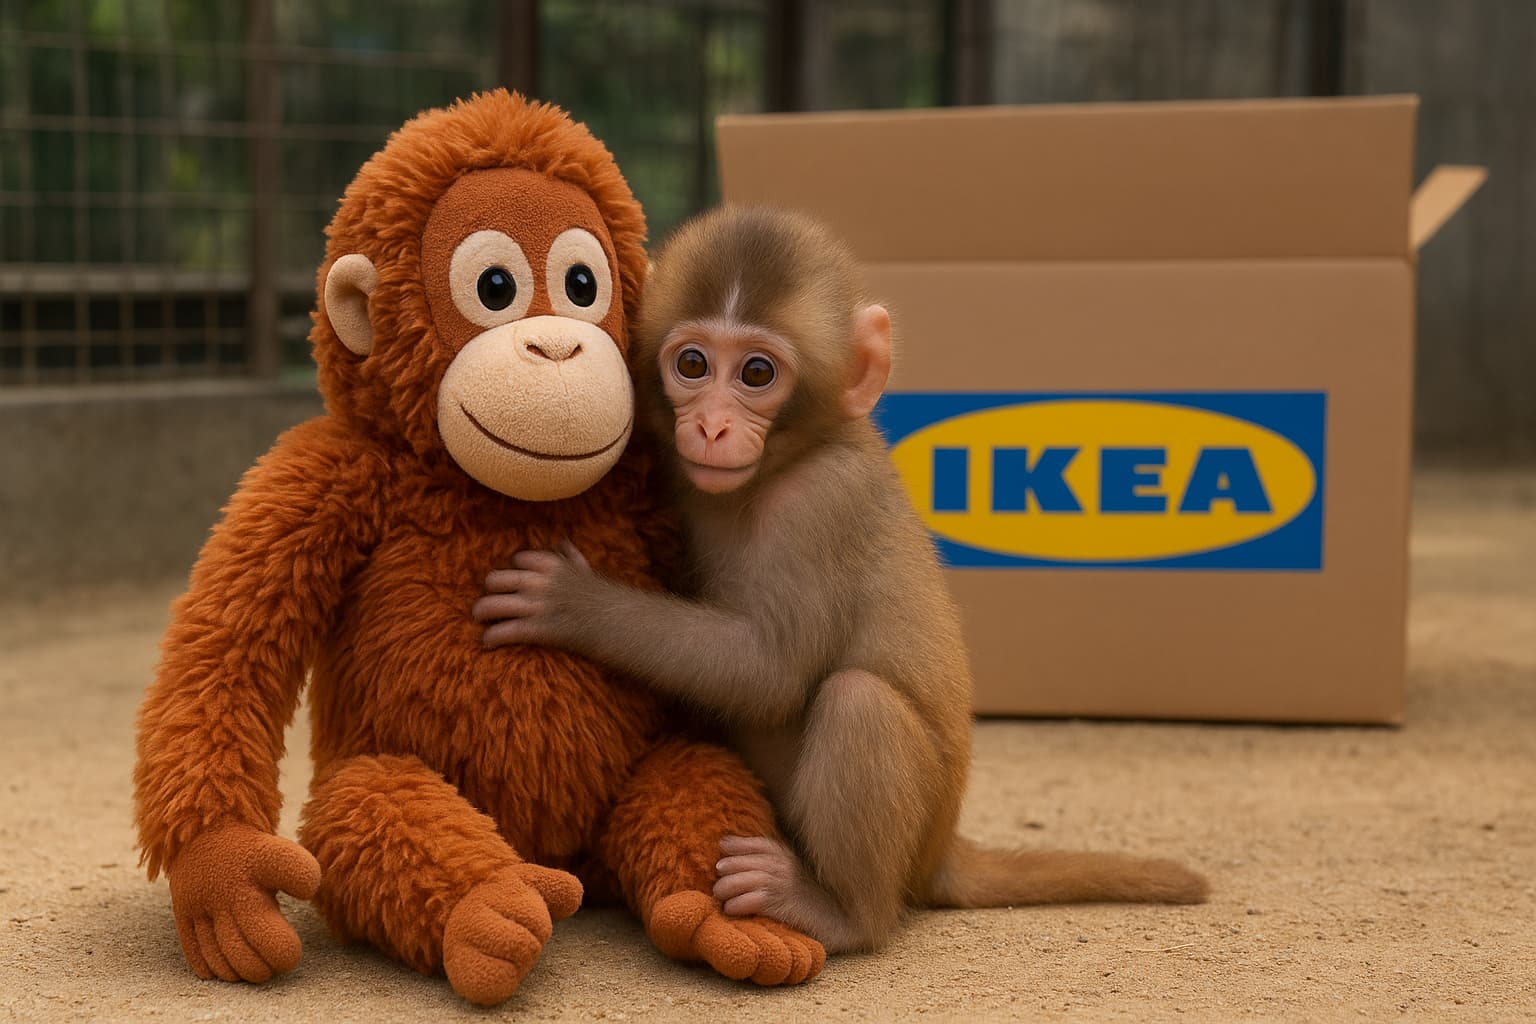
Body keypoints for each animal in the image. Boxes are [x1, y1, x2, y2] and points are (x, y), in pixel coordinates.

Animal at [471, 206, 1208, 952]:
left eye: (757, 372)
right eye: (692, 363)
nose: (711, 427)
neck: (787, 461)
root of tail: (941, 854)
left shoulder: (823, 504)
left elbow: (769, 671)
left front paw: (573, 602)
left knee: (859, 701)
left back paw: (838, 911)